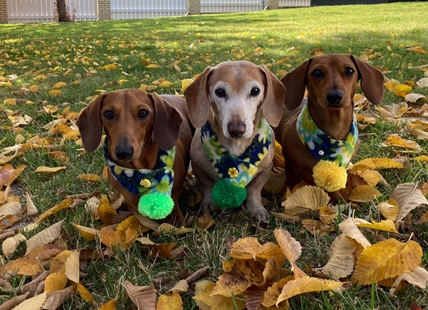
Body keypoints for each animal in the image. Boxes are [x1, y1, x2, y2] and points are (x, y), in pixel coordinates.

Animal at [185, 61, 288, 225]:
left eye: (255, 90)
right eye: (220, 91)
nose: (237, 129)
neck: (235, 148)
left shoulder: (265, 169)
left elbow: (254, 190)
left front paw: (257, 210)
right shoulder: (197, 166)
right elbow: (207, 186)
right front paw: (208, 205)